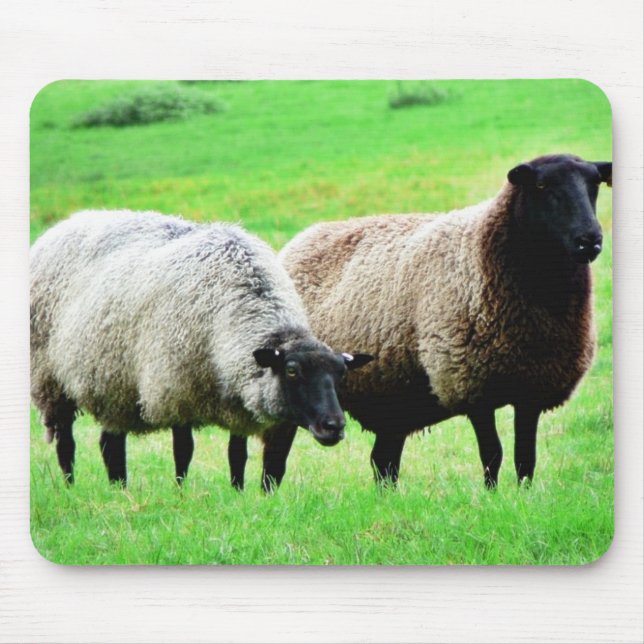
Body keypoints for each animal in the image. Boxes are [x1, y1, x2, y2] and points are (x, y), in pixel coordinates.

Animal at [30, 210, 373, 491]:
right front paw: (181, 492)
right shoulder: (176, 389)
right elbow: (184, 451)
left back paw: (119, 488)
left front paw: (238, 493)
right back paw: (71, 487)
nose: (334, 427)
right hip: (51, 379)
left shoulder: (236, 399)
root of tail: (65, 224)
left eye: (341, 375)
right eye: (292, 371)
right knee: (67, 443)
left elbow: (237, 454)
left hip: (114, 383)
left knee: (110, 442)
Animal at [278, 154, 612, 488]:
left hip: (392, 397)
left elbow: (525, 458)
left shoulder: (532, 389)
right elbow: (493, 454)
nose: (590, 240)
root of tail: (302, 238)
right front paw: (492, 496)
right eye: (542, 185)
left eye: (595, 182)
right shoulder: (470, 383)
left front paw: (523, 495)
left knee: (383, 463)